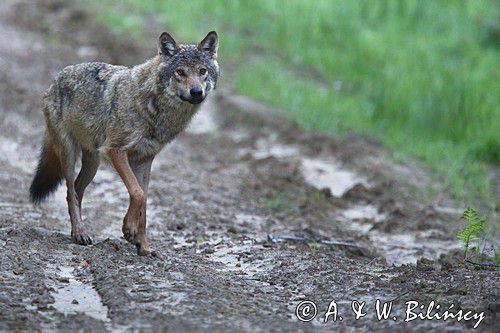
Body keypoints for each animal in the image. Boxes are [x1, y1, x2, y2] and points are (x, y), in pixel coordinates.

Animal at [28, 31, 220, 254]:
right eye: (180, 72)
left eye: (202, 71)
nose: (197, 91)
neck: (152, 107)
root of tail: (56, 79)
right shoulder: (115, 151)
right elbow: (138, 193)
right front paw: (128, 231)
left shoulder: (144, 160)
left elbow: (144, 205)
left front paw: (143, 246)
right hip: (69, 156)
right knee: (69, 192)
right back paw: (79, 233)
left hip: (93, 164)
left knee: (77, 190)